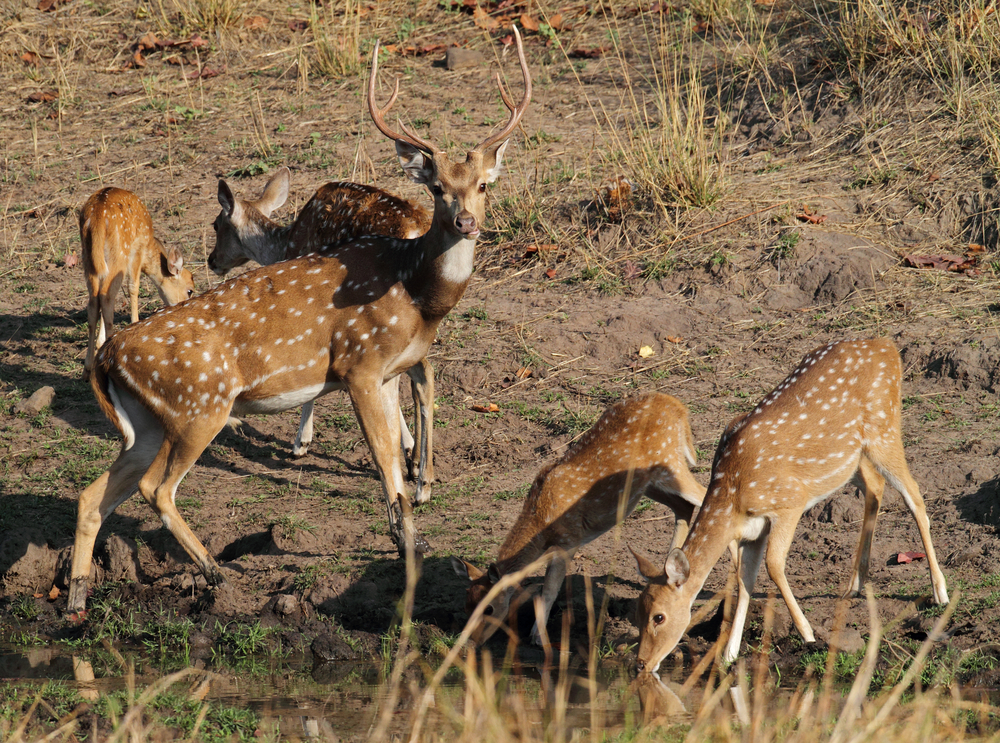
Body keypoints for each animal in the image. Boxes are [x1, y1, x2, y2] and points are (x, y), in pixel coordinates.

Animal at [80, 186, 195, 372]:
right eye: (190, 290)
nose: (185, 311)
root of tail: (96, 216)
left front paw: (99, 341)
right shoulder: (138, 250)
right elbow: (133, 287)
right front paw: (135, 322)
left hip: (88, 256)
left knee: (93, 300)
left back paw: (88, 367)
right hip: (120, 251)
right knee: (106, 296)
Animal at [206, 170, 434, 500]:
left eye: (216, 224)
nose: (211, 260)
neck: (285, 245)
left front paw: (300, 442)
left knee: (421, 372)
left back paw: (418, 472)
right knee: (423, 373)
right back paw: (419, 469)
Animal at [452, 396, 704, 644]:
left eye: (489, 609)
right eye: (466, 605)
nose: (471, 642)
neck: (542, 516)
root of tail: (678, 406)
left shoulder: (570, 539)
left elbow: (550, 589)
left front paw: (538, 637)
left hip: (670, 462)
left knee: (703, 495)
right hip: (648, 484)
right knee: (683, 506)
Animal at [636, 340, 948, 672]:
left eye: (659, 616)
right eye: (638, 611)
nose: (641, 664)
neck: (732, 494)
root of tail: (887, 345)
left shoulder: (788, 503)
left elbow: (774, 565)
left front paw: (808, 634)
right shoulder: (753, 530)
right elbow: (744, 578)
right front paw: (729, 655)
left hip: (884, 429)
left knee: (914, 494)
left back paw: (939, 591)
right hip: (850, 458)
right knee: (876, 486)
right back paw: (855, 583)